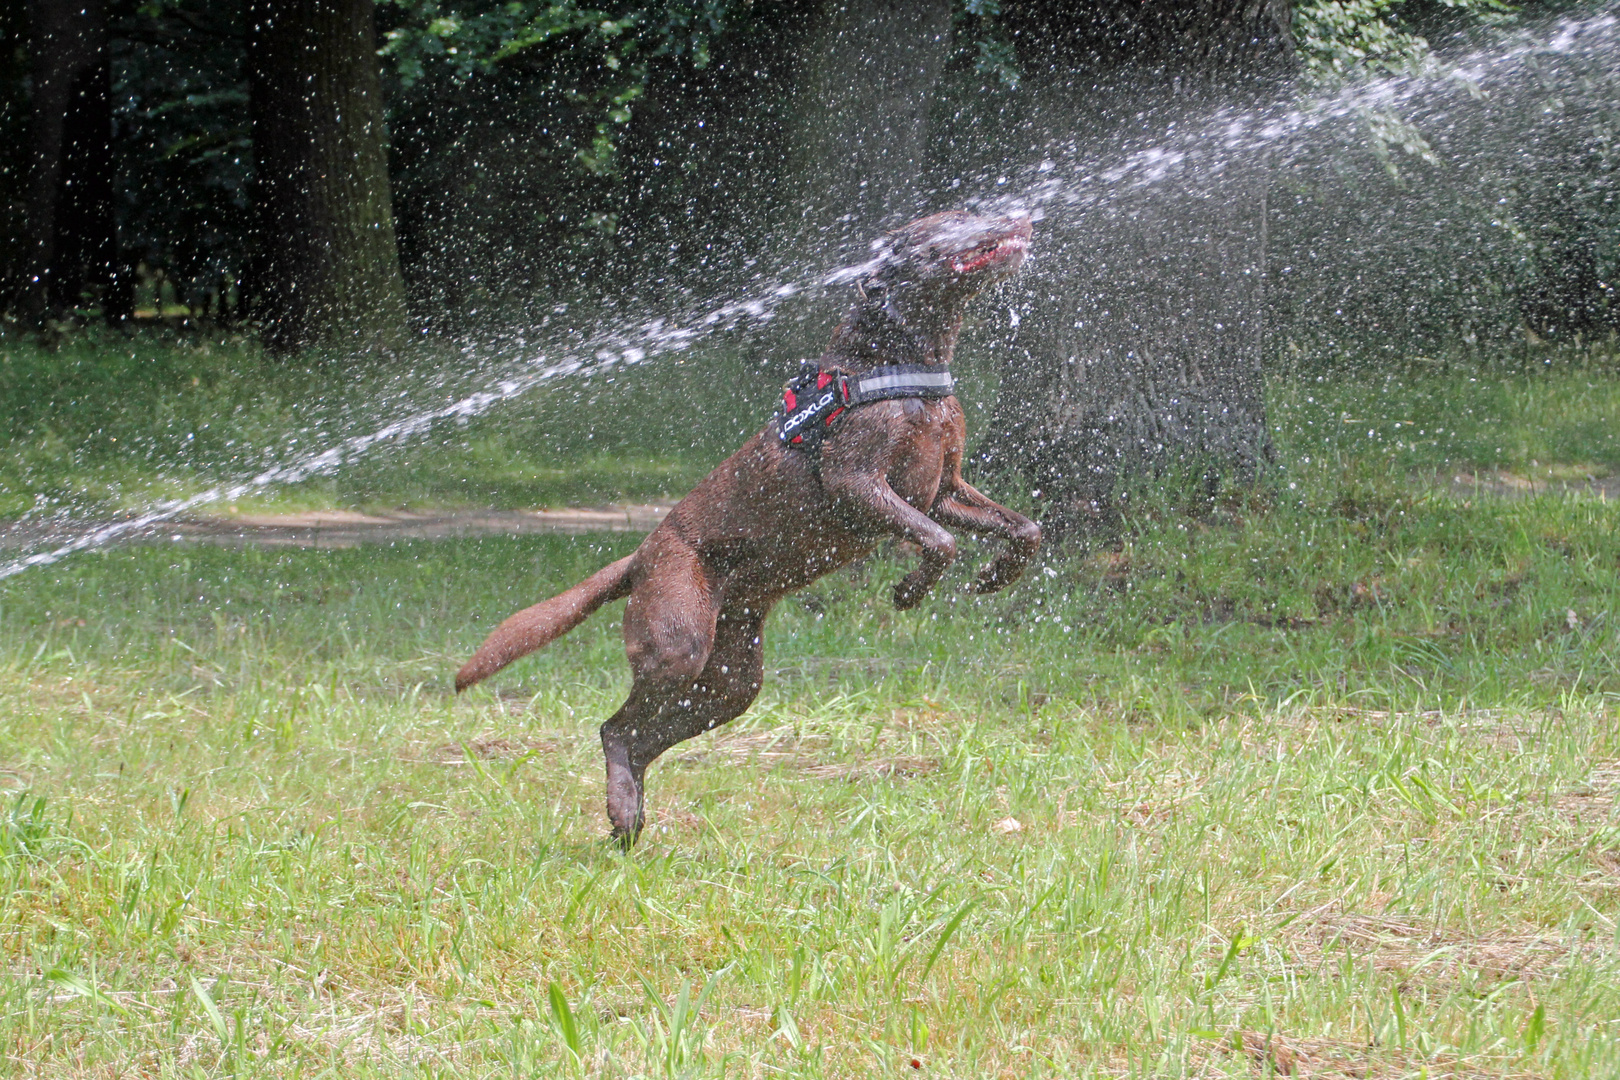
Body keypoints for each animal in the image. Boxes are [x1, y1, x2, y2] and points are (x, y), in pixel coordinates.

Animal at [456, 207, 1036, 841]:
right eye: (954, 220)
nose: (1016, 213)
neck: (895, 364)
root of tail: (639, 559)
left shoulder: (942, 490)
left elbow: (1020, 528)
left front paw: (996, 575)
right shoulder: (857, 484)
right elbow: (942, 541)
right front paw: (909, 590)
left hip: (731, 681)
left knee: (640, 737)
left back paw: (629, 814)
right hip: (677, 640)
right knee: (616, 727)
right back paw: (623, 808)